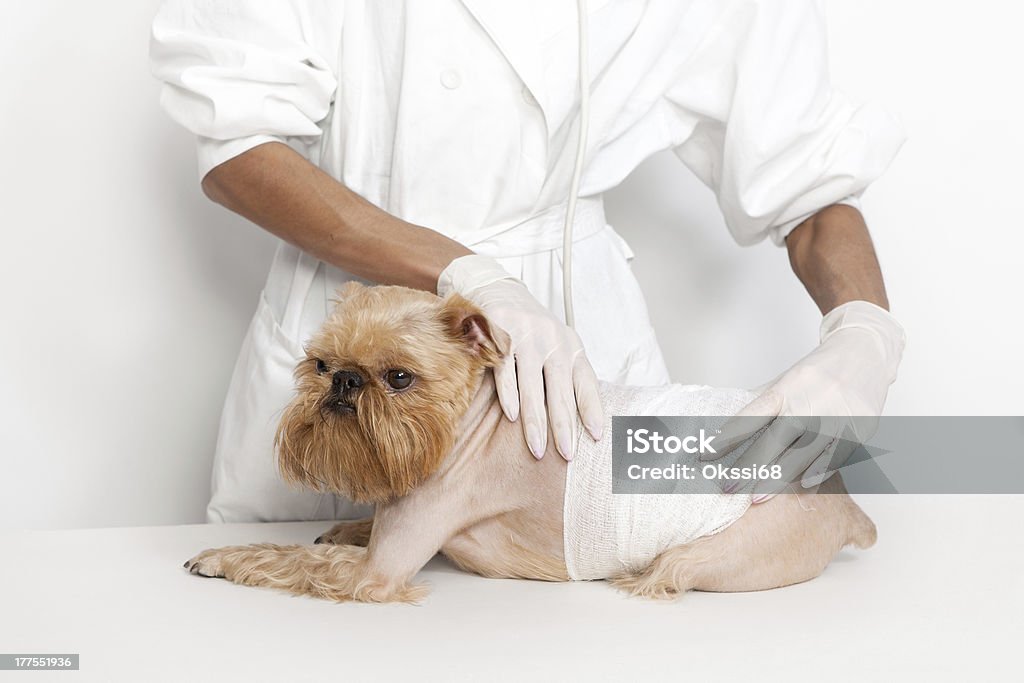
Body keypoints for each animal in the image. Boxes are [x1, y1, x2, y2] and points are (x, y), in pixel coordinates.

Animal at [184, 282, 872, 602]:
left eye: (399, 378)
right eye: (322, 365)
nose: (345, 382)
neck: (471, 420)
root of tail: (840, 497)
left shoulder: (381, 572)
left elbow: (290, 558)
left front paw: (224, 556)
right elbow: (340, 536)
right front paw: (344, 526)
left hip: (719, 551)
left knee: (671, 570)